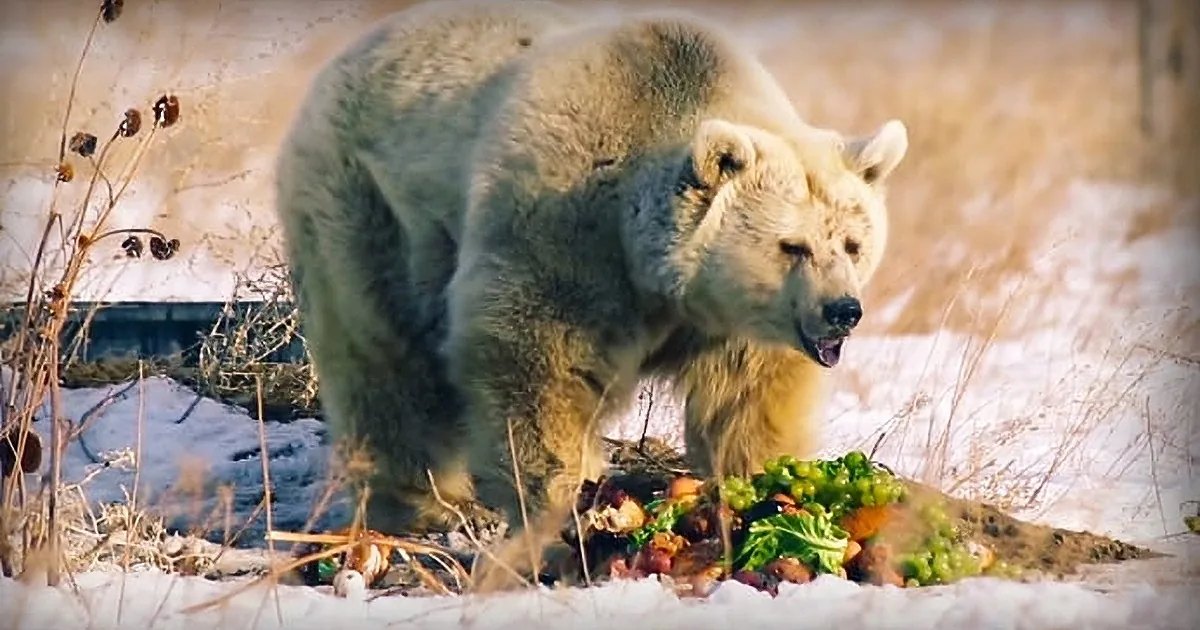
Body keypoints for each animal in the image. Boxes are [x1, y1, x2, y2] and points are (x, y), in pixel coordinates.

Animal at [273, 0, 907, 588]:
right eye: (792, 245)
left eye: (852, 243)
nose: (843, 312)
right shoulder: (565, 233)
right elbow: (536, 366)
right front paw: (568, 509)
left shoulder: (734, 321)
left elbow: (747, 399)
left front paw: (767, 485)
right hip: (367, 206)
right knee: (382, 360)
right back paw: (421, 502)